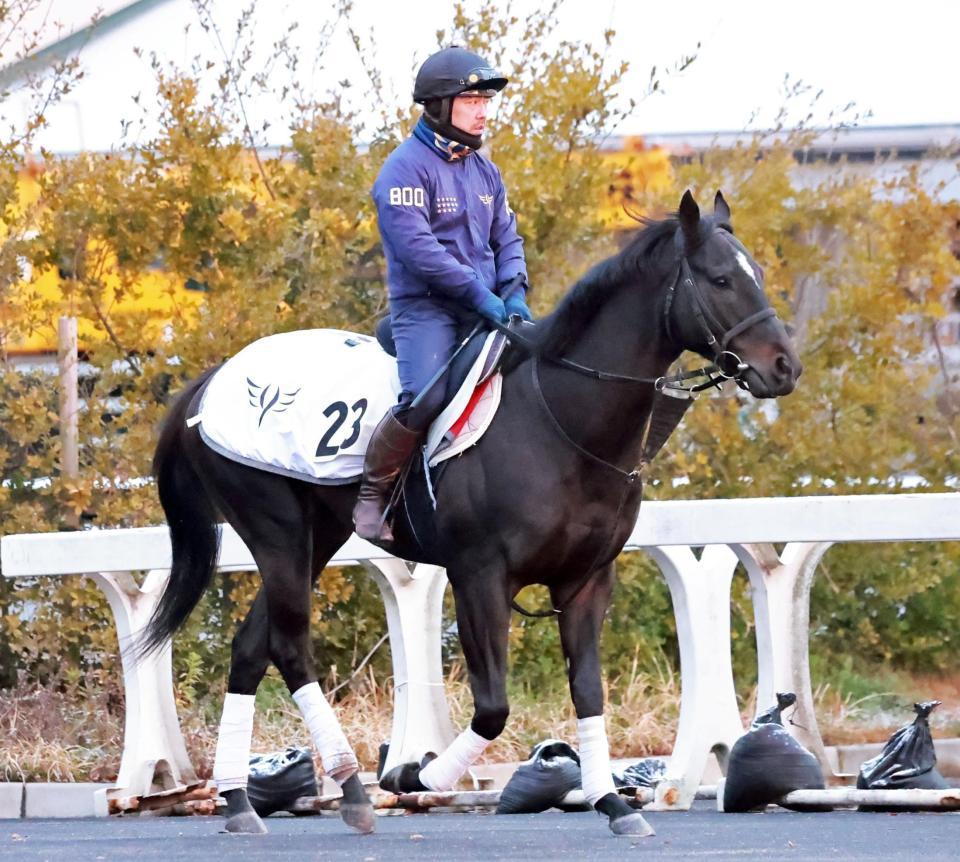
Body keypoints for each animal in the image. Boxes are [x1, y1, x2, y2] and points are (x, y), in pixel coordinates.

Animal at [144, 189, 804, 836]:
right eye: (721, 279)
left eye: (757, 272)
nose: (784, 366)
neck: (558, 419)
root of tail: (211, 381)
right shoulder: (480, 576)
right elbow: (492, 708)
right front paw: (412, 774)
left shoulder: (588, 580)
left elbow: (588, 692)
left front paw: (612, 804)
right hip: (277, 531)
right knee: (289, 646)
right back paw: (349, 788)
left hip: (316, 537)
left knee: (251, 647)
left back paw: (240, 800)